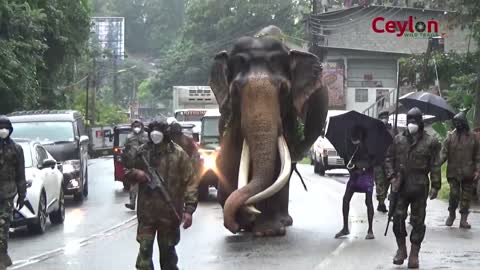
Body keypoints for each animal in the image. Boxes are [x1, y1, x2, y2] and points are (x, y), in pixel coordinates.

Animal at [208, 25, 328, 236]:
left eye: (284, 90)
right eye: (235, 90)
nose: (248, 213)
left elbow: (278, 165)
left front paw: (267, 231)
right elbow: (233, 152)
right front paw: (243, 222)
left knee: (287, 169)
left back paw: (283, 222)